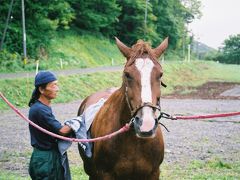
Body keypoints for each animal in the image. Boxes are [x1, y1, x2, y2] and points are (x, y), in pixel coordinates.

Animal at [78, 37, 168, 180]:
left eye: (160, 75)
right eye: (127, 74)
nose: (146, 124)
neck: (133, 141)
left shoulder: (153, 173)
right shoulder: (105, 174)